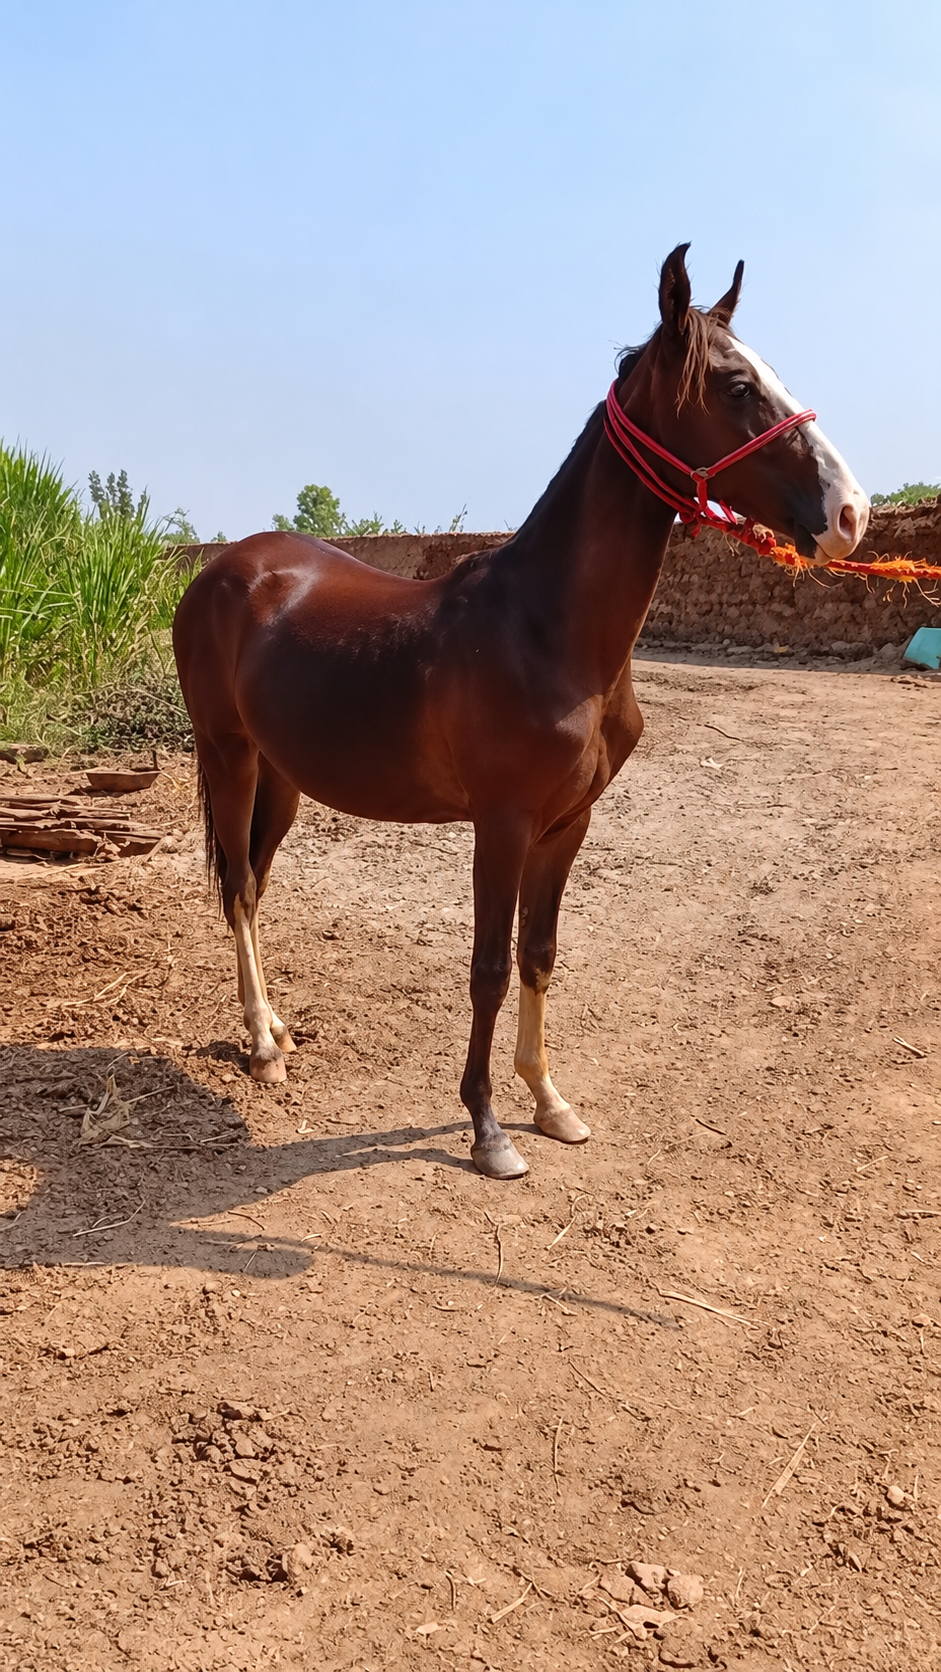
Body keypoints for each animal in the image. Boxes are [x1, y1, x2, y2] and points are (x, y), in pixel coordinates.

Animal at [173, 244, 868, 1181]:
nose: (850, 512)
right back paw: (259, 1044)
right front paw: (487, 1127)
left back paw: (278, 1026)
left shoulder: (567, 823)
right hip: (228, 754)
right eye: (733, 386)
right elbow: (489, 969)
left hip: (283, 774)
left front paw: (548, 1101)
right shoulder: (499, 823)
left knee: (256, 880)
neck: (545, 631)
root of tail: (225, 569)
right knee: (240, 888)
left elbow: (539, 956)